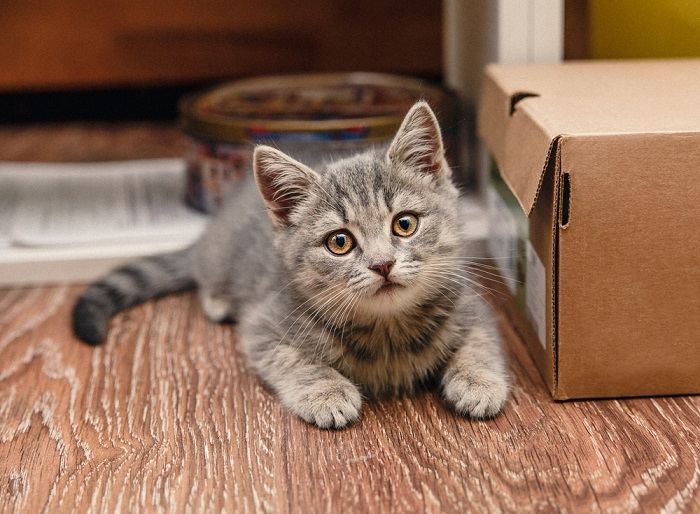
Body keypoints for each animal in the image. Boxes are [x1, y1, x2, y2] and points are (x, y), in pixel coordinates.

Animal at [72, 101, 508, 428]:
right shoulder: (264, 325)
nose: (382, 264)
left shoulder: (474, 306)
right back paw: (217, 301)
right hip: (219, 264)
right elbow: (294, 359)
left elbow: (481, 342)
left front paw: (479, 381)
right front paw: (327, 391)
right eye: (339, 242)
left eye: (405, 224)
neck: (388, 329)